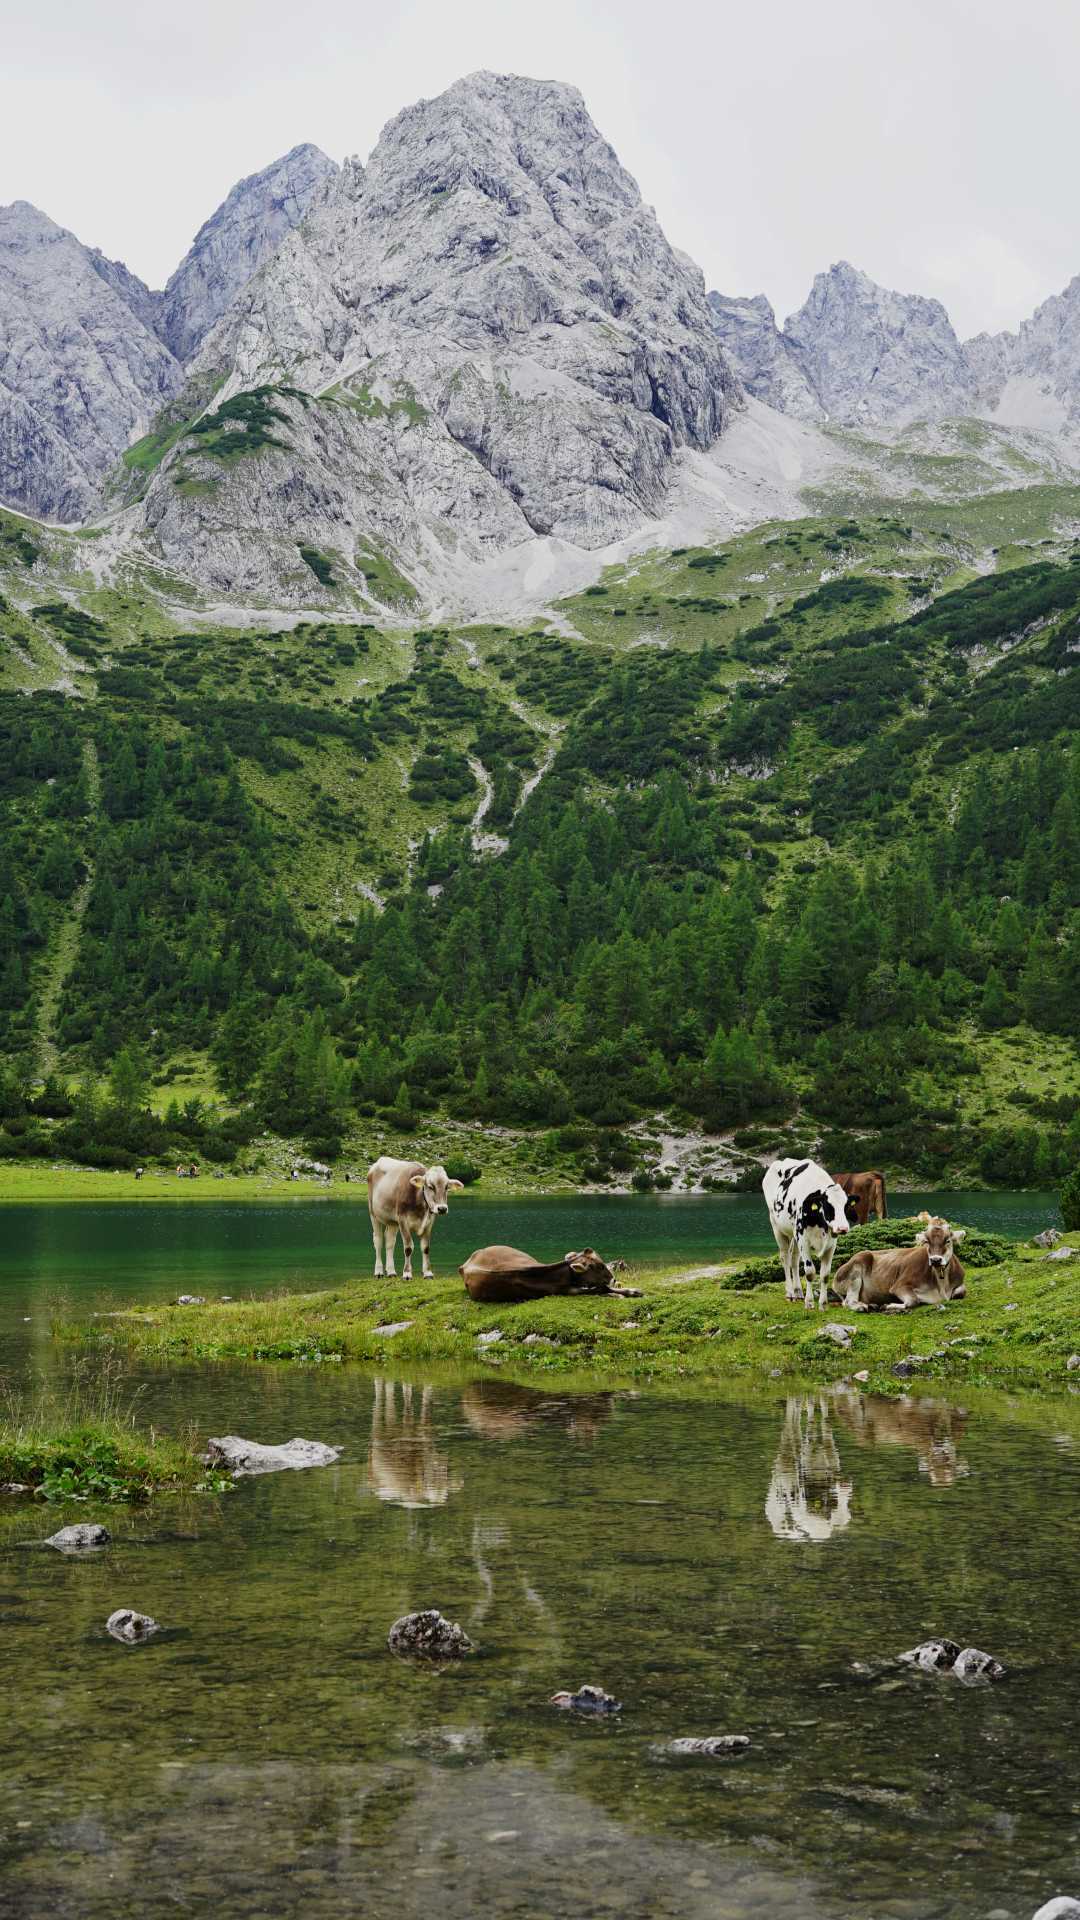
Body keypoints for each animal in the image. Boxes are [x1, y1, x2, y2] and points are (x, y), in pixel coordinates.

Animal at [459, 1245, 640, 1305]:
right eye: (600, 1266)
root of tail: (464, 1264)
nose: (614, 1278)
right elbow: (600, 1288)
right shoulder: (564, 1291)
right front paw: (627, 1293)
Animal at [763, 1158, 856, 1310]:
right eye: (828, 1205)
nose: (842, 1228)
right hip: (777, 1226)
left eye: (846, 1205)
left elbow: (825, 1274)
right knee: (785, 1257)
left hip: (794, 1234)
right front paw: (810, 1302)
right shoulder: (804, 1240)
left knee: (794, 1259)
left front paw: (823, 1304)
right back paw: (790, 1293)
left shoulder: (831, 1244)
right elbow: (810, 1272)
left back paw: (798, 1292)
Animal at [832, 1211, 966, 1312]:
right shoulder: (899, 1285)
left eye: (948, 1241)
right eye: (927, 1241)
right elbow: (913, 1300)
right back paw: (862, 1307)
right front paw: (888, 1305)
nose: (935, 1260)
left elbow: (961, 1292)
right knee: (848, 1301)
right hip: (857, 1266)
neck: (941, 1287)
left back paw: (872, 1305)